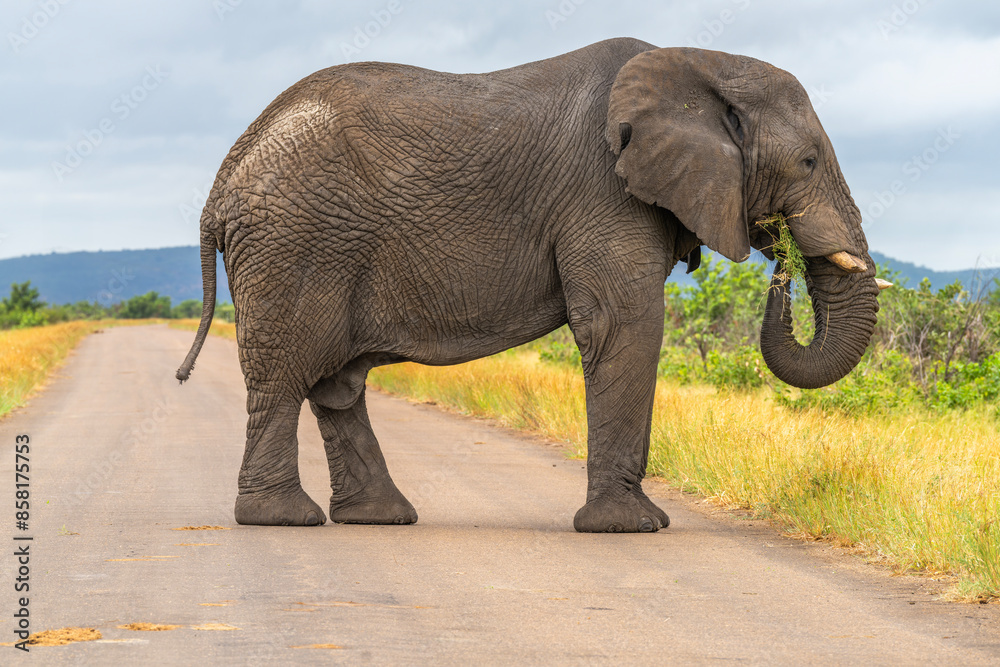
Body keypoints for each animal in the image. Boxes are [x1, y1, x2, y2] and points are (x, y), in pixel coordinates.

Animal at [178, 38, 883, 532]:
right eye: (809, 162)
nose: (782, 258)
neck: (699, 67)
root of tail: (225, 177)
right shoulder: (603, 194)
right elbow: (623, 324)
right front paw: (632, 528)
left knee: (335, 384)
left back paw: (380, 516)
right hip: (296, 243)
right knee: (285, 377)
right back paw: (282, 519)